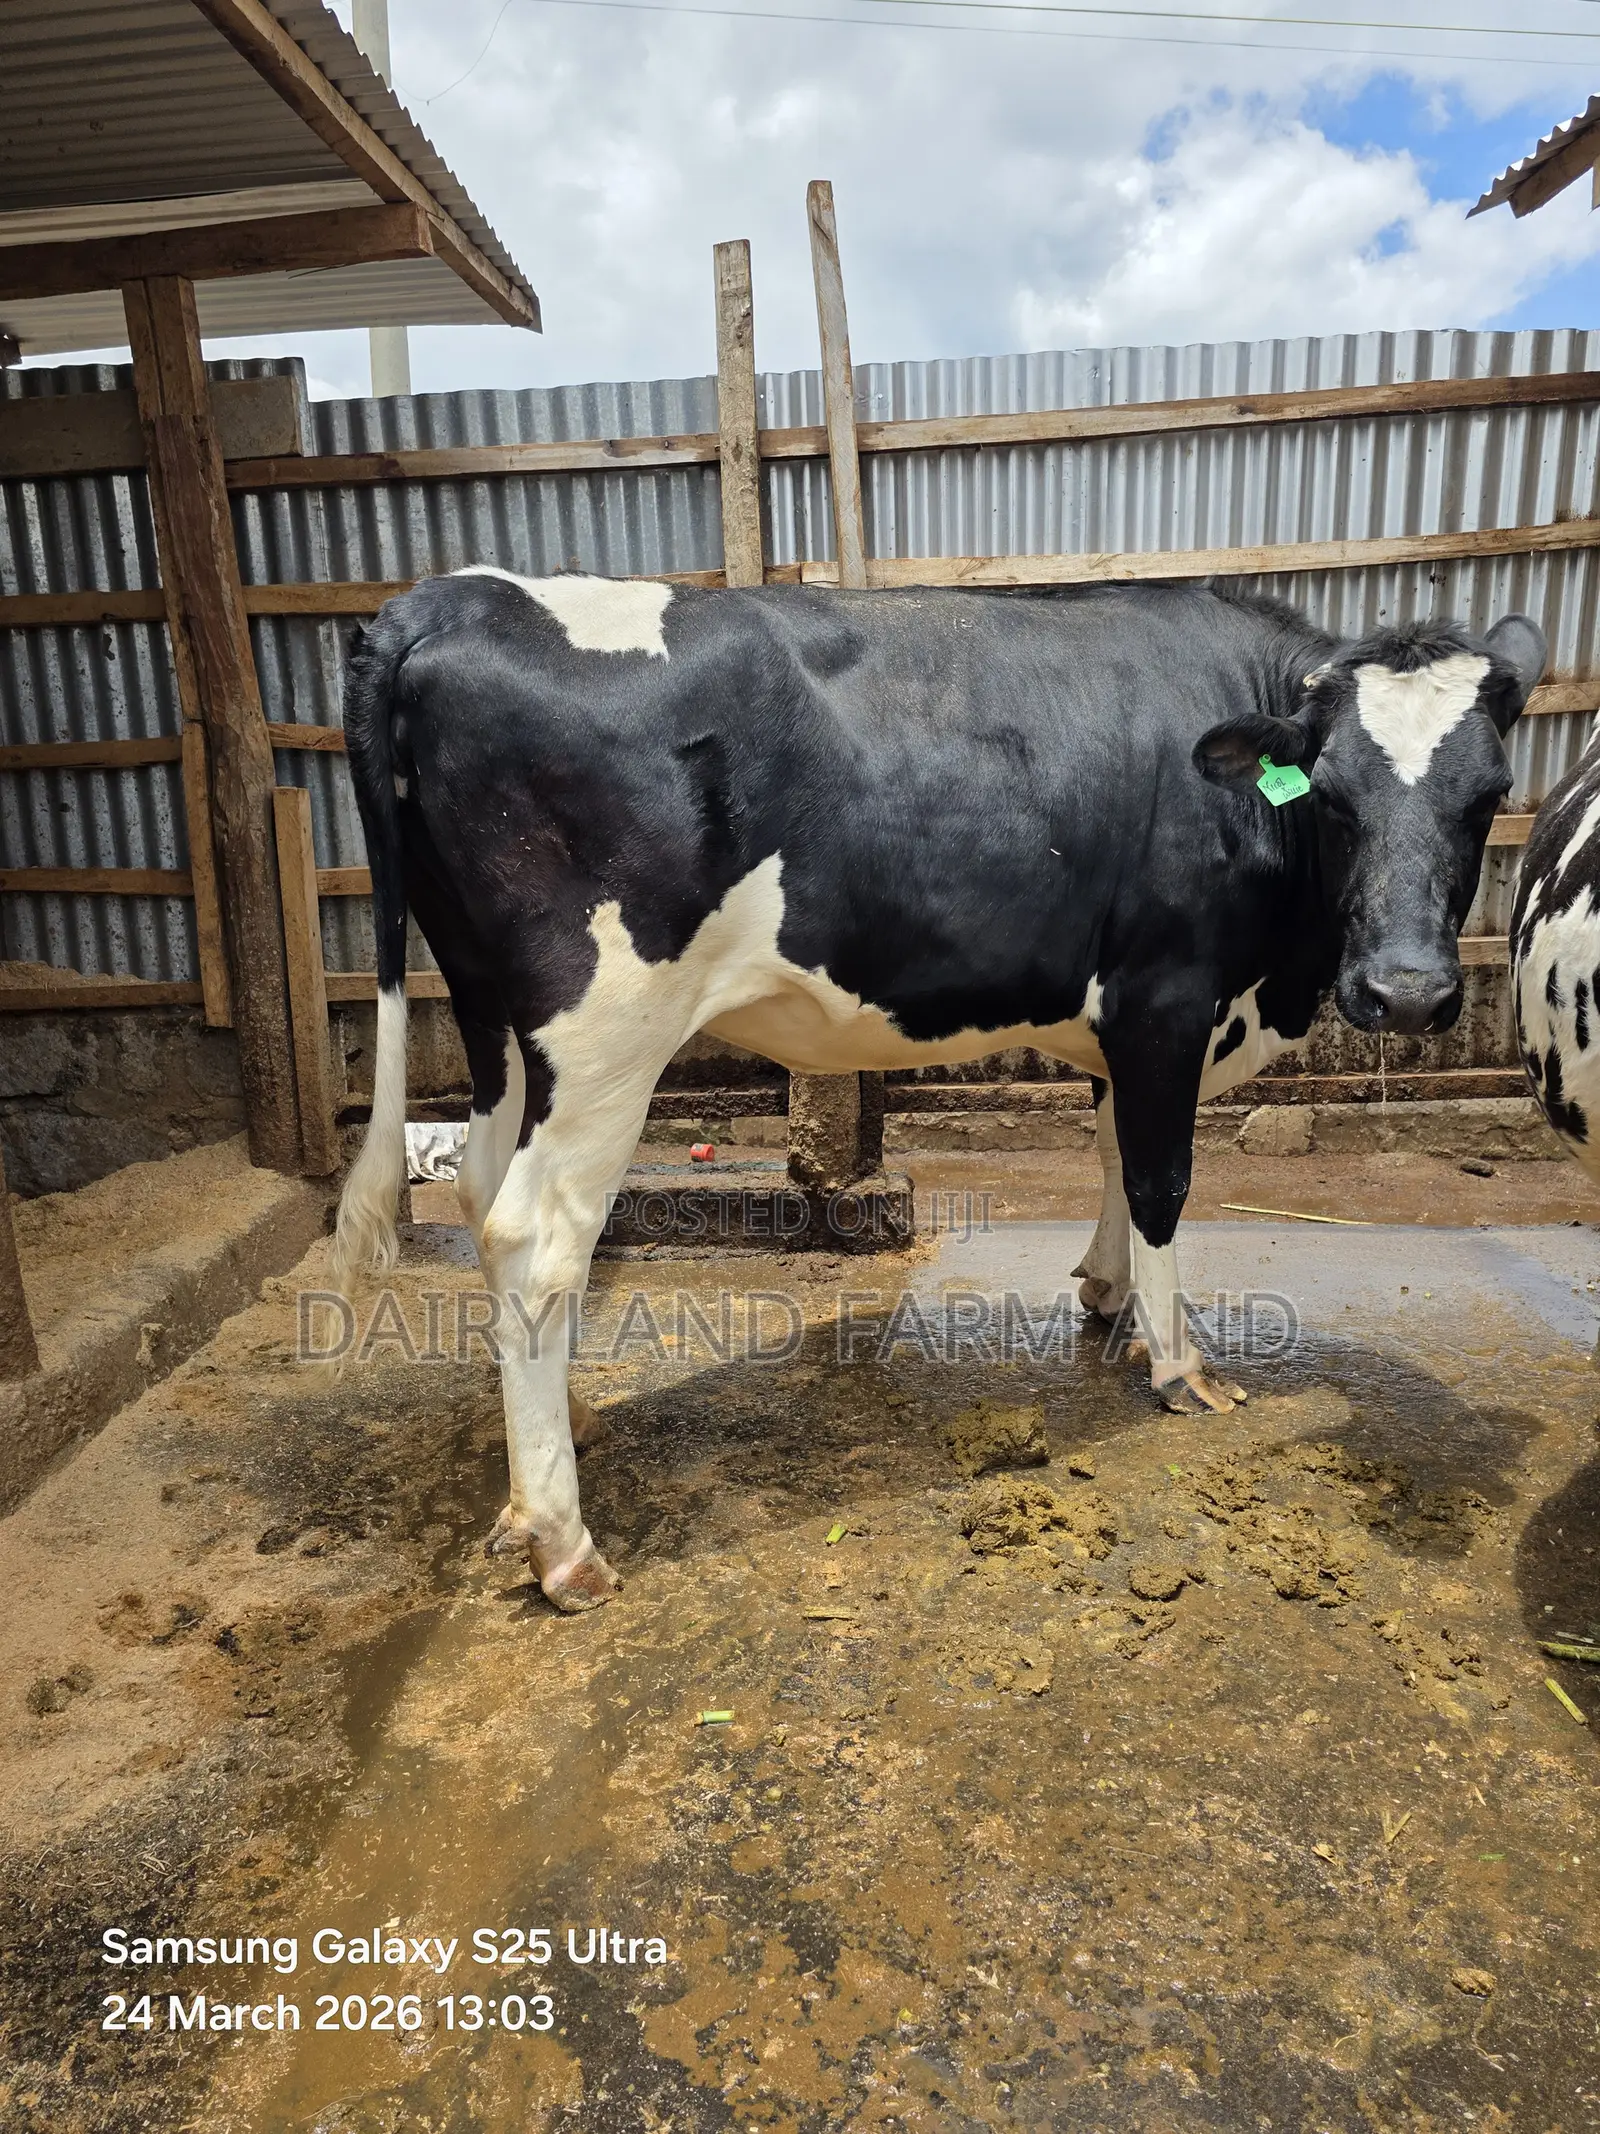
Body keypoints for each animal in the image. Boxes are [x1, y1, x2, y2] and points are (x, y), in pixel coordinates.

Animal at [331, 569, 1546, 1613]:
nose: (1406, 991)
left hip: (492, 1016)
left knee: (482, 1194)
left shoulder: (1125, 1021)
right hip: (603, 1034)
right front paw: (1178, 1363)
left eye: (1489, 795)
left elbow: (1113, 1152)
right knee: (537, 1239)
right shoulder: (1165, 997)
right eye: (1332, 799)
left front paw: (1106, 1297)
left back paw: (554, 1434)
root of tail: (450, 596)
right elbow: (1161, 1177)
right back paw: (562, 1539)